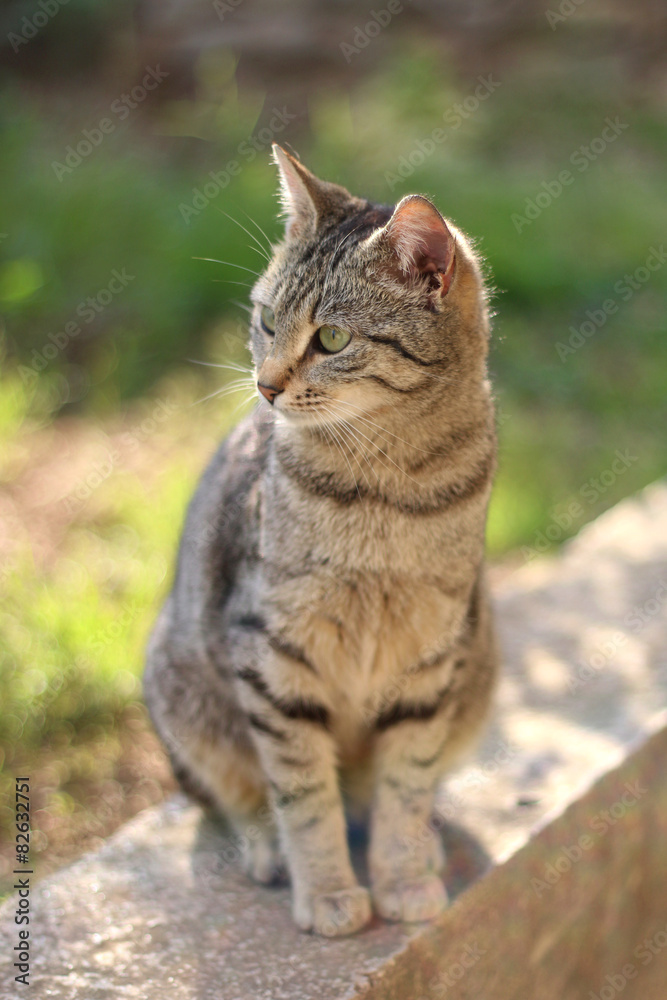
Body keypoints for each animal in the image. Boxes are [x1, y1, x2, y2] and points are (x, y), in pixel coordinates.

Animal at [147, 145, 500, 932]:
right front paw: (331, 892)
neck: (386, 486)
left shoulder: (428, 662)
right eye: (266, 318)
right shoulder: (274, 660)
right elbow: (304, 798)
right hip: (183, 692)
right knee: (236, 796)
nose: (265, 385)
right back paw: (267, 850)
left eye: (331, 338)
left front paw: (401, 877)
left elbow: (404, 787)